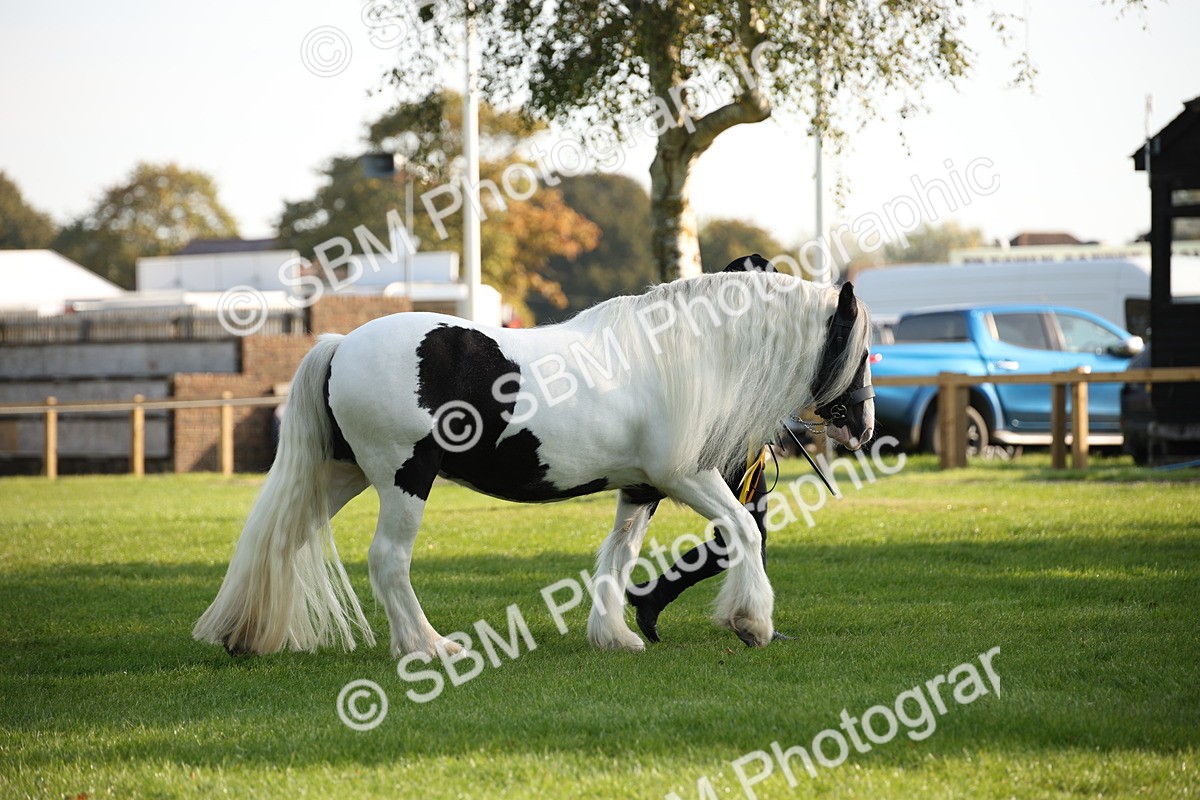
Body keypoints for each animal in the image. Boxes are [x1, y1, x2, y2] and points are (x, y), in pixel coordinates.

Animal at [193, 270, 875, 659]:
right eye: (861, 346)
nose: (863, 428)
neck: (685, 354)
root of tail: (341, 345)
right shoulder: (688, 477)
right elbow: (743, 531)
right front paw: (751, 622)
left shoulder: (641, 489)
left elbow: (619, 555)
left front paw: (616, 636)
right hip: (404, 480)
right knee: (388, 561)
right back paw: (428, 647)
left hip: (341, 475)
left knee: (282, 539)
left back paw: (244, 634)